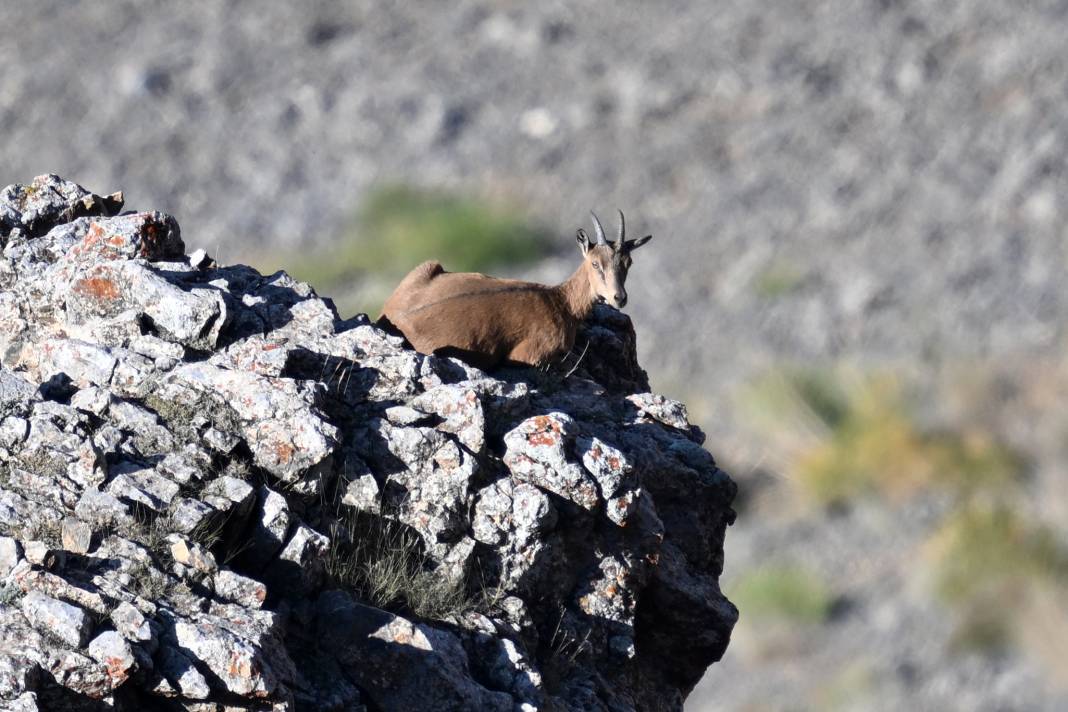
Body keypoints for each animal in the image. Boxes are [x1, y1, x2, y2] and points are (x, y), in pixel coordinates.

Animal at [380, 210, 653, 367]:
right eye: (595, 263)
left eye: (628, 262)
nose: (619, 298)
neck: (561, 303)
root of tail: (391, 314)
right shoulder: (528, 355)